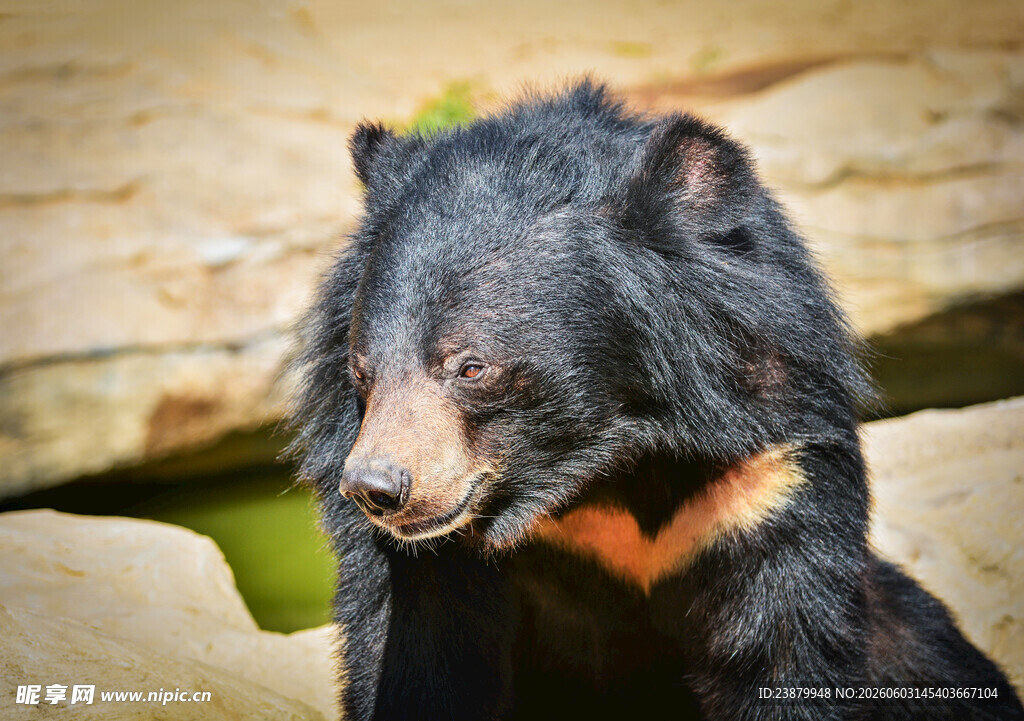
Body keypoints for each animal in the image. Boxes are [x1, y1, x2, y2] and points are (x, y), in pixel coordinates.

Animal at [288, 81, 1024, 720]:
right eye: (362, 371)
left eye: (471, 368)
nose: (377, 488)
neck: (603, 456)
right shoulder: (430, 556)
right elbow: (418, 654)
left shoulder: (769, 474)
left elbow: (784, 646)